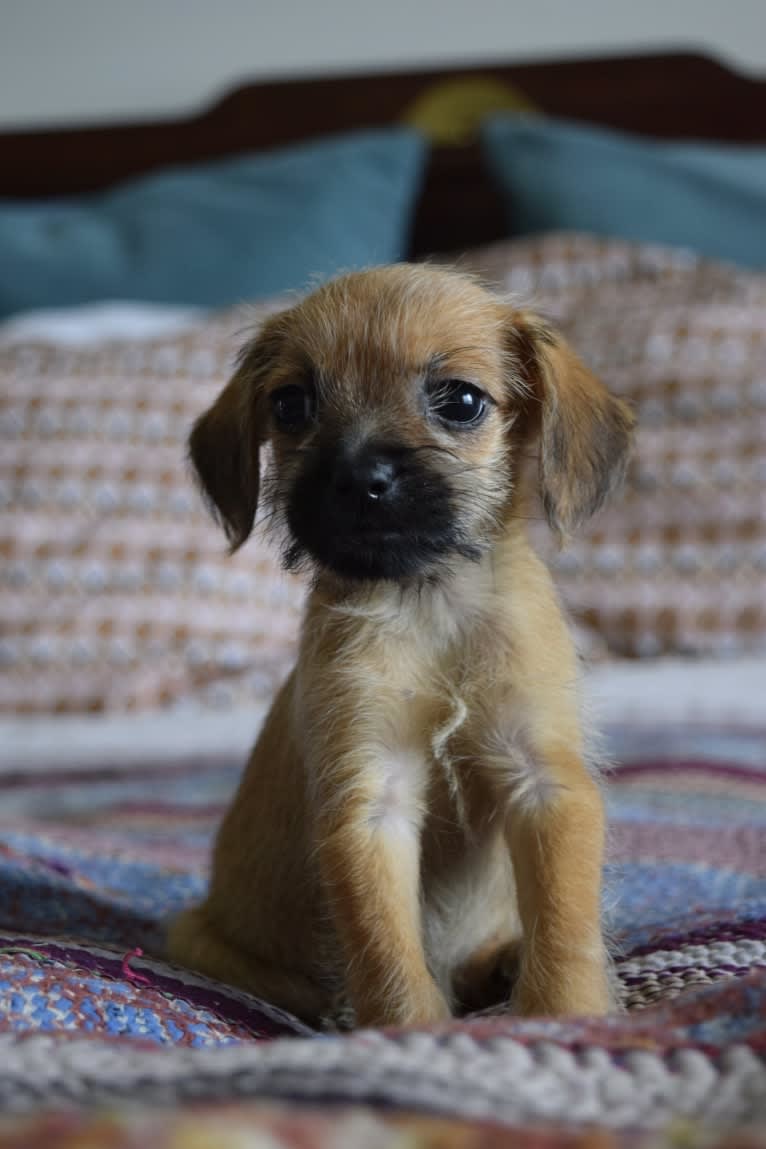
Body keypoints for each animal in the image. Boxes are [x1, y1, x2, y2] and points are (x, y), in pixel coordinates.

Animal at [167, 264, 633, 1029]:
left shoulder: (544, 778)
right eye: (291, 404)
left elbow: (564, 921)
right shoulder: (370, 798)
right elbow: (385, 947)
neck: (429, 603)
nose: (358, 477)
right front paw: (409, 1031)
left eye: (462, 401)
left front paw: (564, 1013)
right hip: (201, 939)